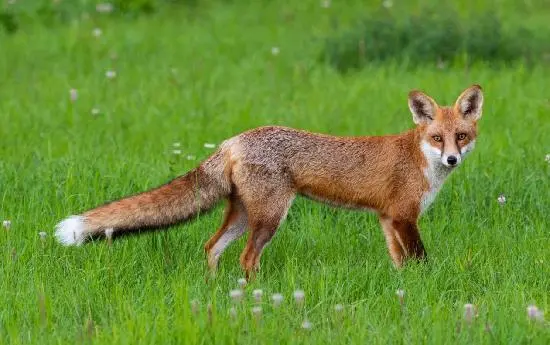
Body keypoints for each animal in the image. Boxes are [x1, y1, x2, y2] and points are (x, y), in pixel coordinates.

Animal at [56, 85, 486, 276]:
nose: (452, 158)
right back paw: (257, 298)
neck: (419, 160)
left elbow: (398, 262)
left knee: (211, 247)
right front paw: (425, 286)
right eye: (437, 138)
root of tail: (233, 139)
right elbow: (420, 260)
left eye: (462, 136)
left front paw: (402, 290)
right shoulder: (403, 217)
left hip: (244, 215)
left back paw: (216, 291)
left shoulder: (387, 218)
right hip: (269, 217)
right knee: (246, 257)